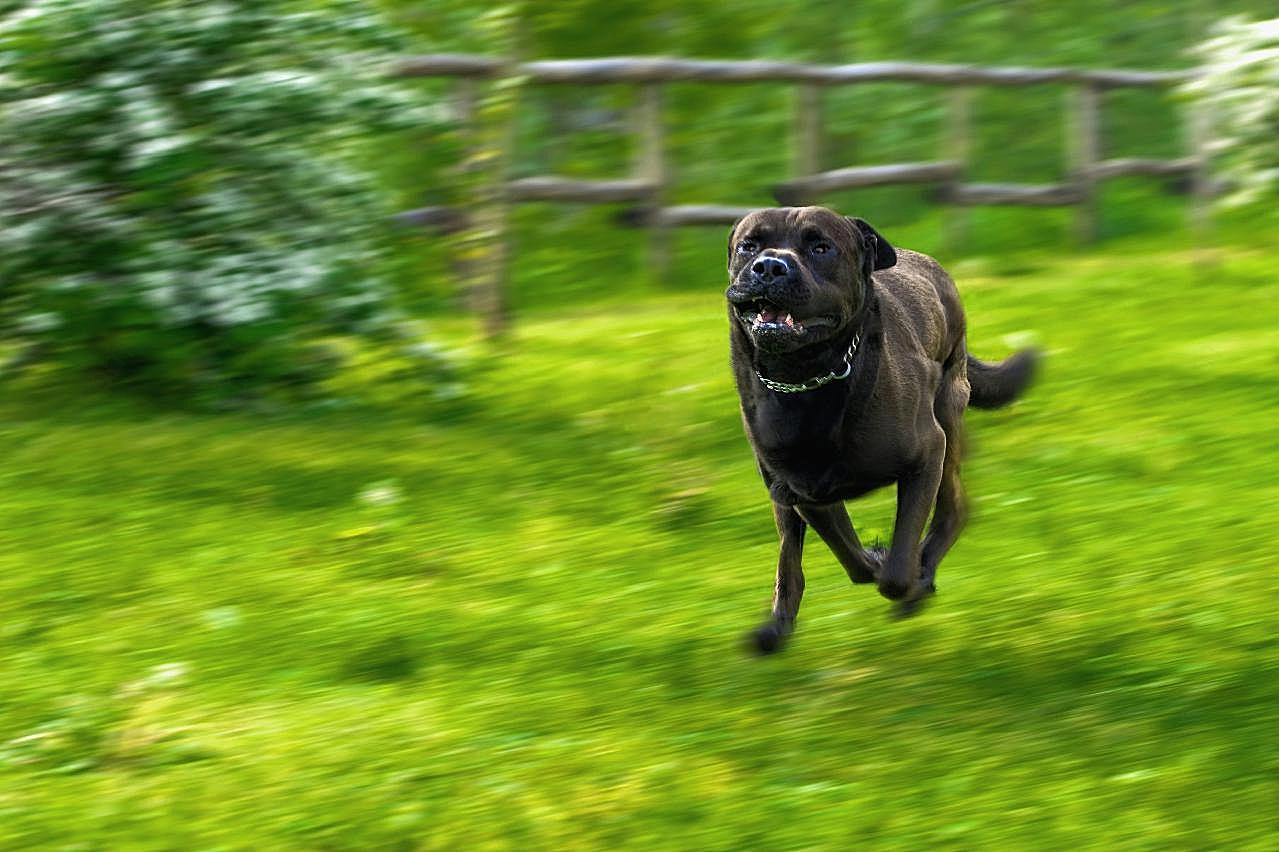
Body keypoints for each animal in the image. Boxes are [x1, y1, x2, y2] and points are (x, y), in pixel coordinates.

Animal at [726, 205, 1033, 649]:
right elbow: (852, 559)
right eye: (749, 245)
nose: (769, 266)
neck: (807, 380)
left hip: (949, 417)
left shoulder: (927, 455)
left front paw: (909, 577)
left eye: (821, 247)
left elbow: (897, 570)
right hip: (779, 492)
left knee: (955, 507)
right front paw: (874, 556)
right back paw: (776, 625)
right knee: (789, 554)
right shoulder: (804, 490)